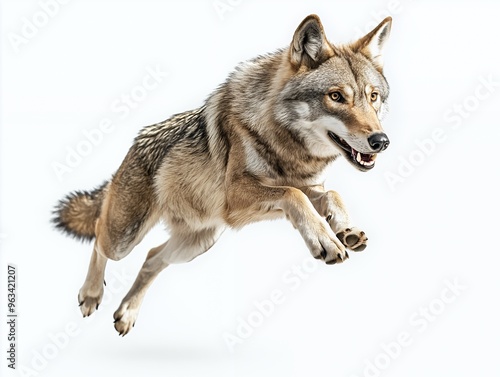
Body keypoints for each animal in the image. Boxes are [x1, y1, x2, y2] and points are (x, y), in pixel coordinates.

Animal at [52, 14, 392, 334]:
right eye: (336, 96)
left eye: (373, 96)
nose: (381, 141)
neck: (284, 143)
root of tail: (134, 145)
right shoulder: (237, 197)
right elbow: (294, 196)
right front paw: (325, 240)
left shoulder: (298, 189)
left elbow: (330, 194)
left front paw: (345, 229)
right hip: (125, 237)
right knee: (99, 235)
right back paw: (91, 295)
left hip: (198, 242)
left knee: (151, 257)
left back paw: (127, 314)